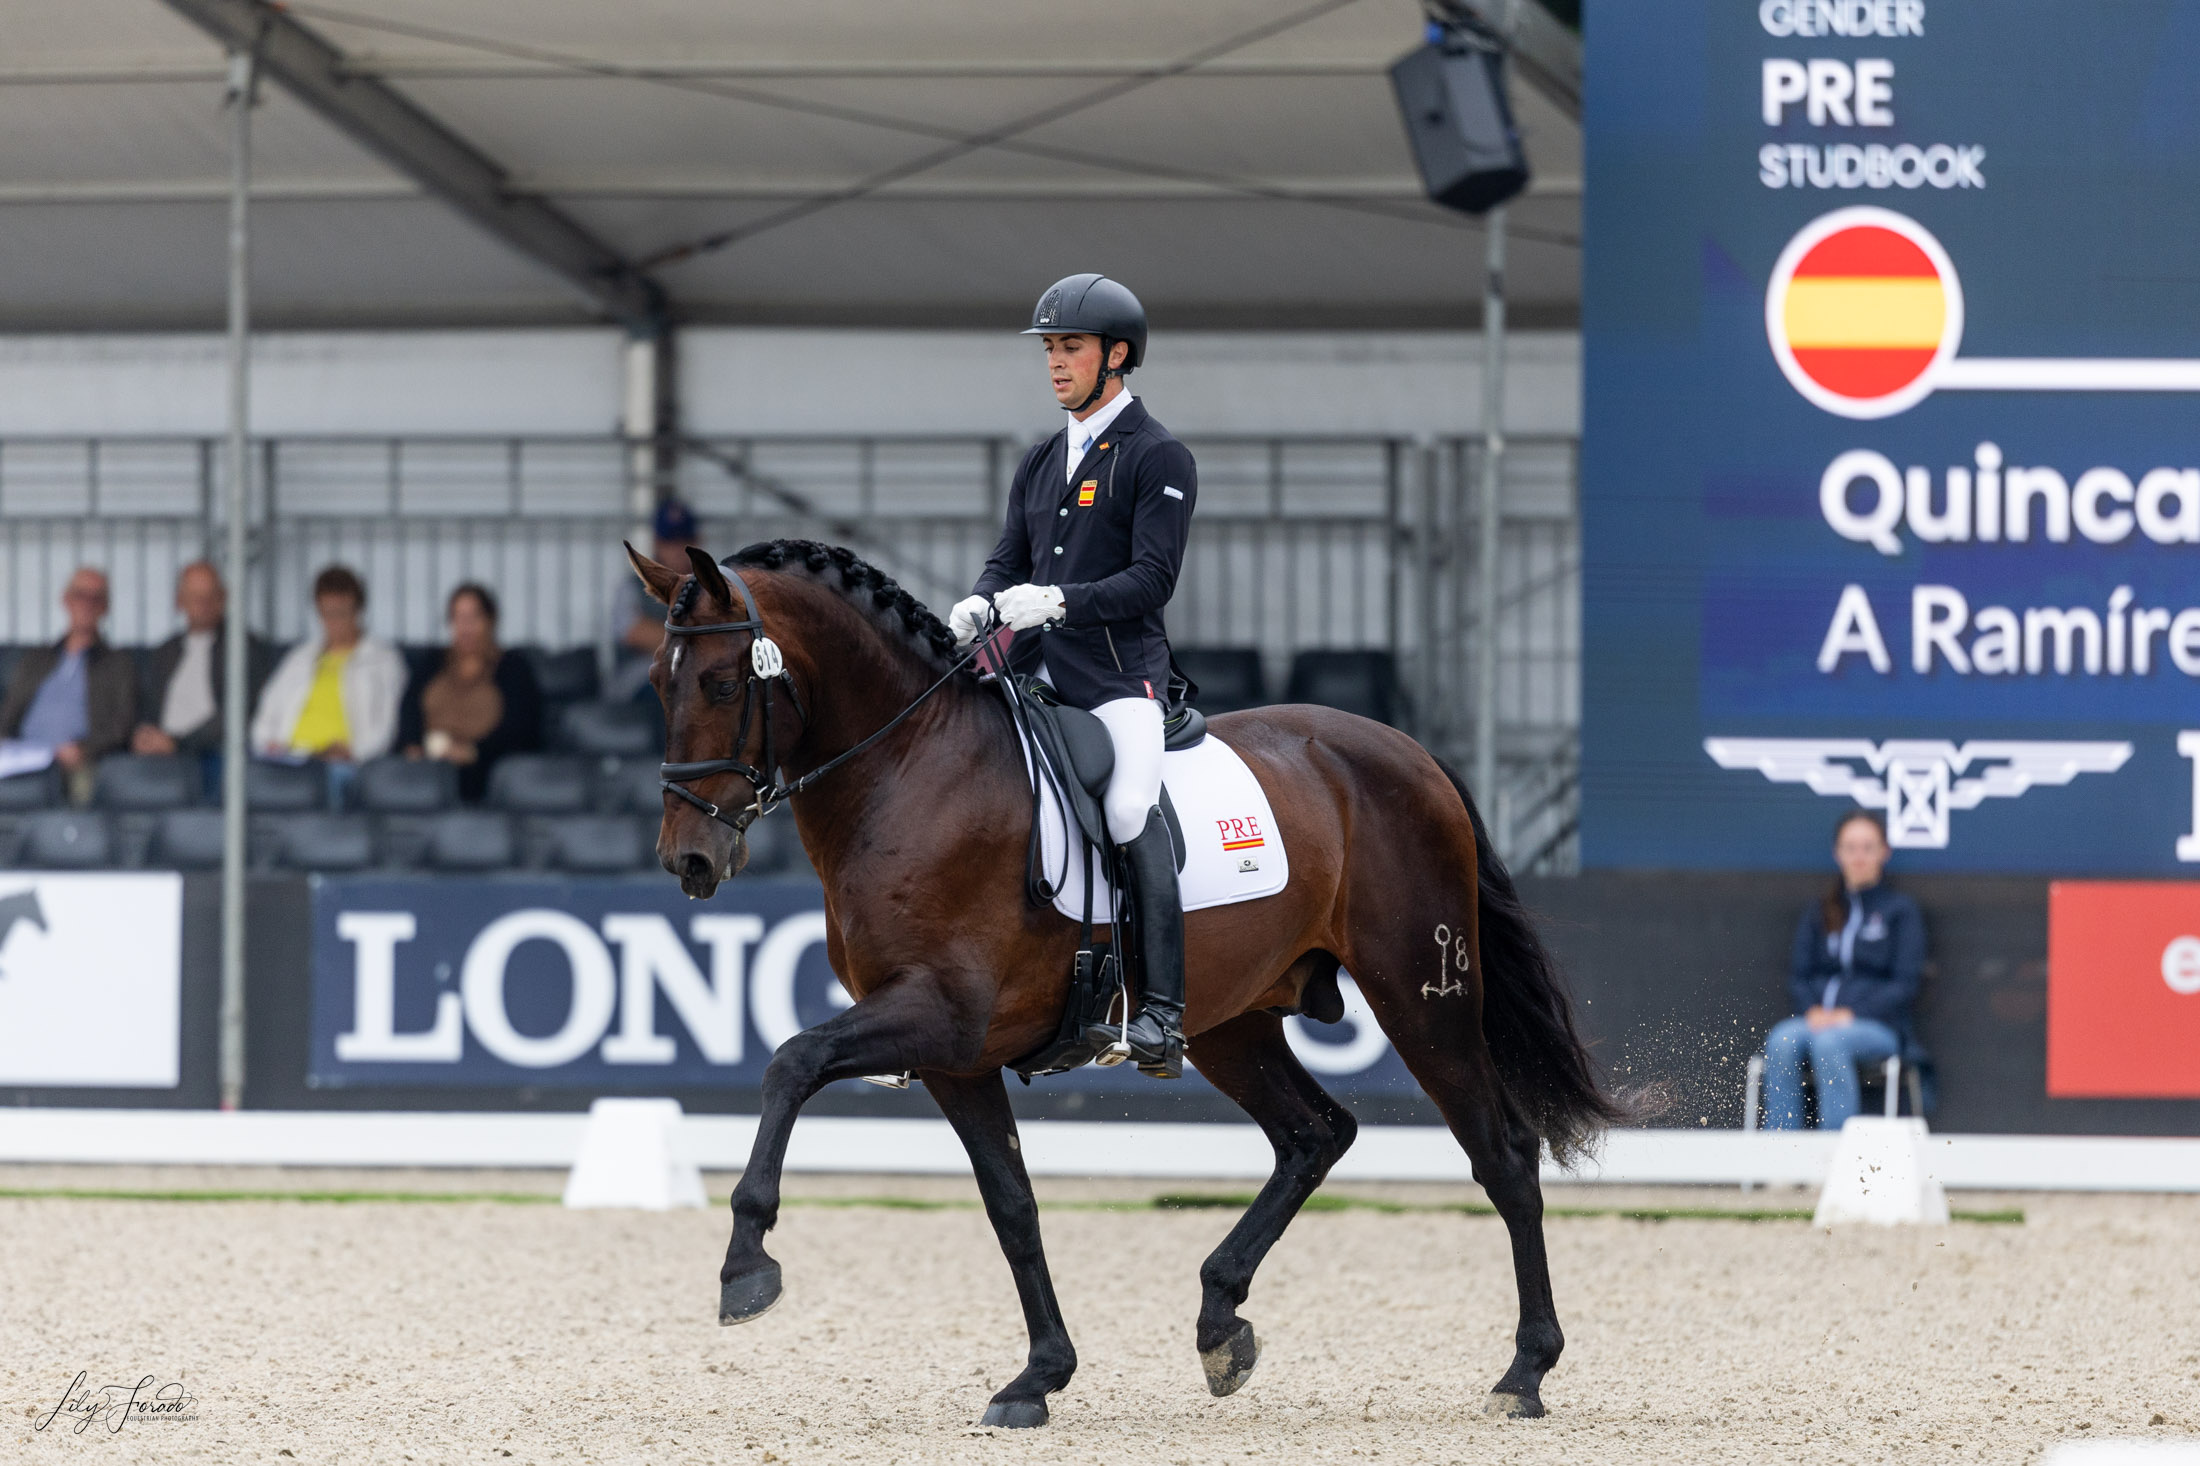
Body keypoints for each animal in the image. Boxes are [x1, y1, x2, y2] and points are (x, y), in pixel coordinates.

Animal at [629, 537, 1628, 1426]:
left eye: (723, 684)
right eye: (657, 684)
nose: (689, 860)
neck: (911, 769)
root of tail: (1408, 752)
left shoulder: (940, 1013)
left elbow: (792, 1063)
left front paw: (746, 1264)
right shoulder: (957, 1055)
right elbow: (1012, 1205)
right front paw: (1038, 1377)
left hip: (1423, 994)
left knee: (1502, 1153)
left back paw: (1525, 1373)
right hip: (1231, 1023)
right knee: (1314, 1134)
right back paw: (1222, 1323)